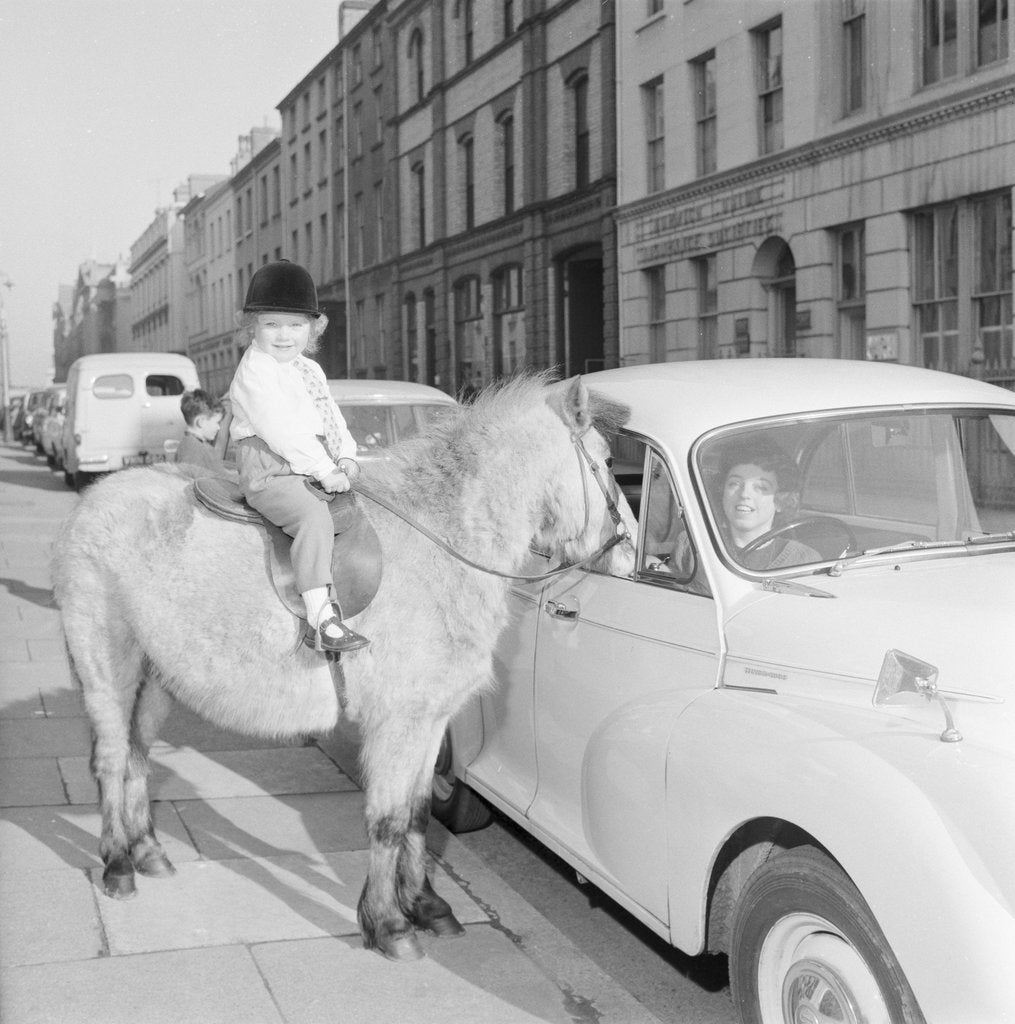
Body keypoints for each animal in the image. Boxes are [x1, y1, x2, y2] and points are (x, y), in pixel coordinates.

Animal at [50, 372, 636, 962]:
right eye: (608, 460)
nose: (633, 555)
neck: (443, 539)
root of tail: (92, 499)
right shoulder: (398, 722)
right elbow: (387, 820)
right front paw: (388, 924)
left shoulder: (430, 722)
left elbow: (418, 813)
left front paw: (426, 904)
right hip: (110, 667)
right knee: (110, 760)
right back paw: (118, 865)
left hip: (157, 678)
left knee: (137, 757)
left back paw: (148, 850)